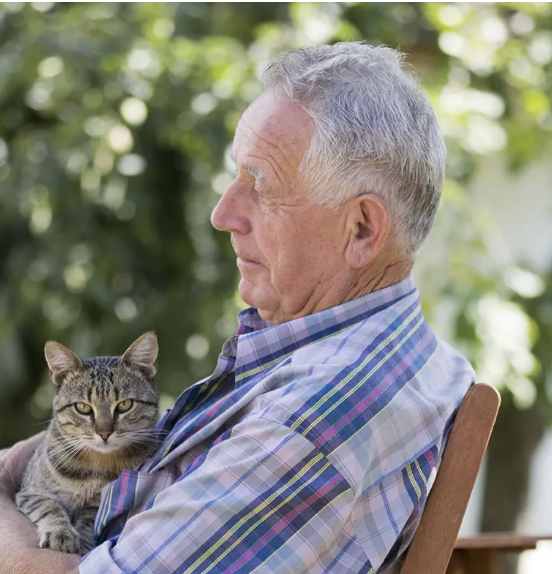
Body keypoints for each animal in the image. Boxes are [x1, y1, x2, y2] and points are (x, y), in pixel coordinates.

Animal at [16, 332, 160, 560]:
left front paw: (82, 541)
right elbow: (49, 506)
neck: (95, 465)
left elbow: (89, 520)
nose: (104, 433)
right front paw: (60, 533)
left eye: (125, 405)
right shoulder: (30, 493)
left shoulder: (97, 505)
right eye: (83, 407)